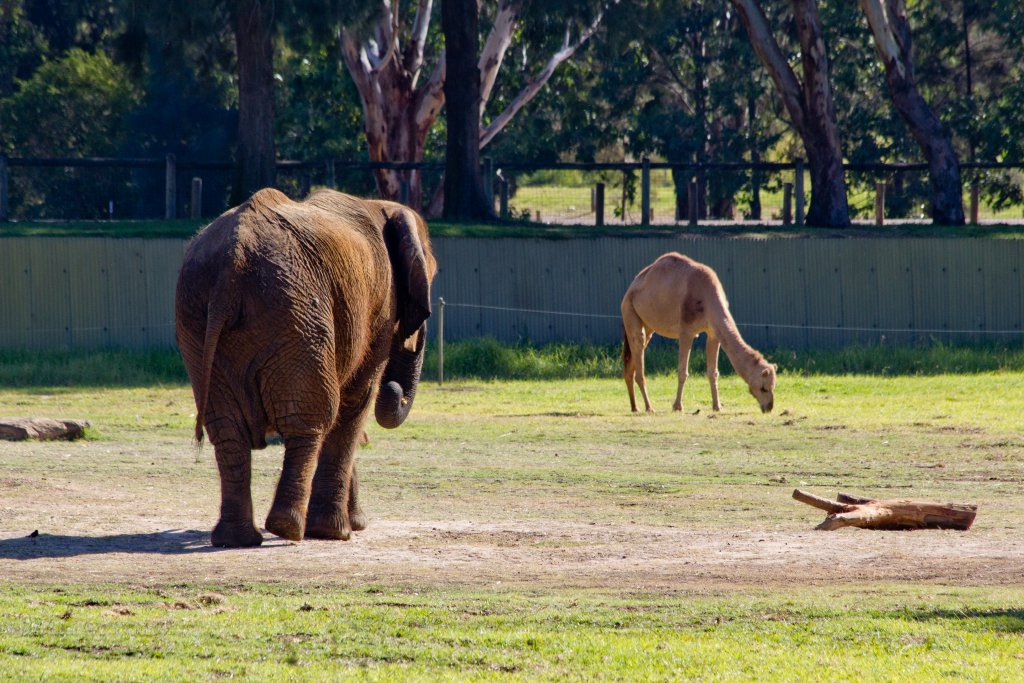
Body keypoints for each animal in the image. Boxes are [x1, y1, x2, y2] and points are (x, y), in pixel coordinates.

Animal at [175, 188, 436, 547]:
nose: (396, 390)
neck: (382, 206)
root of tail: (232, 263)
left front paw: (354, 525)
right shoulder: (381, 307)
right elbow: (354, 402)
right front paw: (339, 532)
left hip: (197, 320)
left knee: (227, 428)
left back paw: (237, 539)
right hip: (296, 313)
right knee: (312, 419)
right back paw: (289, 529)